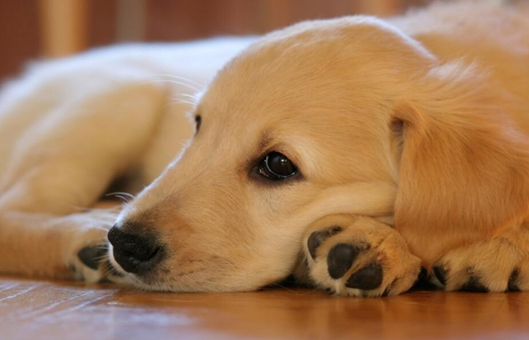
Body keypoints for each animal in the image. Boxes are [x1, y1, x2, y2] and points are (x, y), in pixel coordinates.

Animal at [1, 1, 528, 296]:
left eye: (277, 164)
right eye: (198, 127)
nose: (124, 244)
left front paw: (499, 248)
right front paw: (380, 245)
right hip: (120, 99)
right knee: (12, 211)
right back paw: (81, 235)